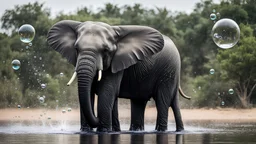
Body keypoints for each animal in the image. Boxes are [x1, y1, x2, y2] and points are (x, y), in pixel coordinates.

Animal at [47, 20, 190, 133]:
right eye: (76, 49)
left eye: (105, 50)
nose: (97, 118)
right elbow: (91, 94)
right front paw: (87, 131)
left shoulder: (116, 62)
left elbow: (107, 92)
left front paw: (104, 131)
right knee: (138, 102)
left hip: (169, 71)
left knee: (162, 101)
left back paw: (162, 131)